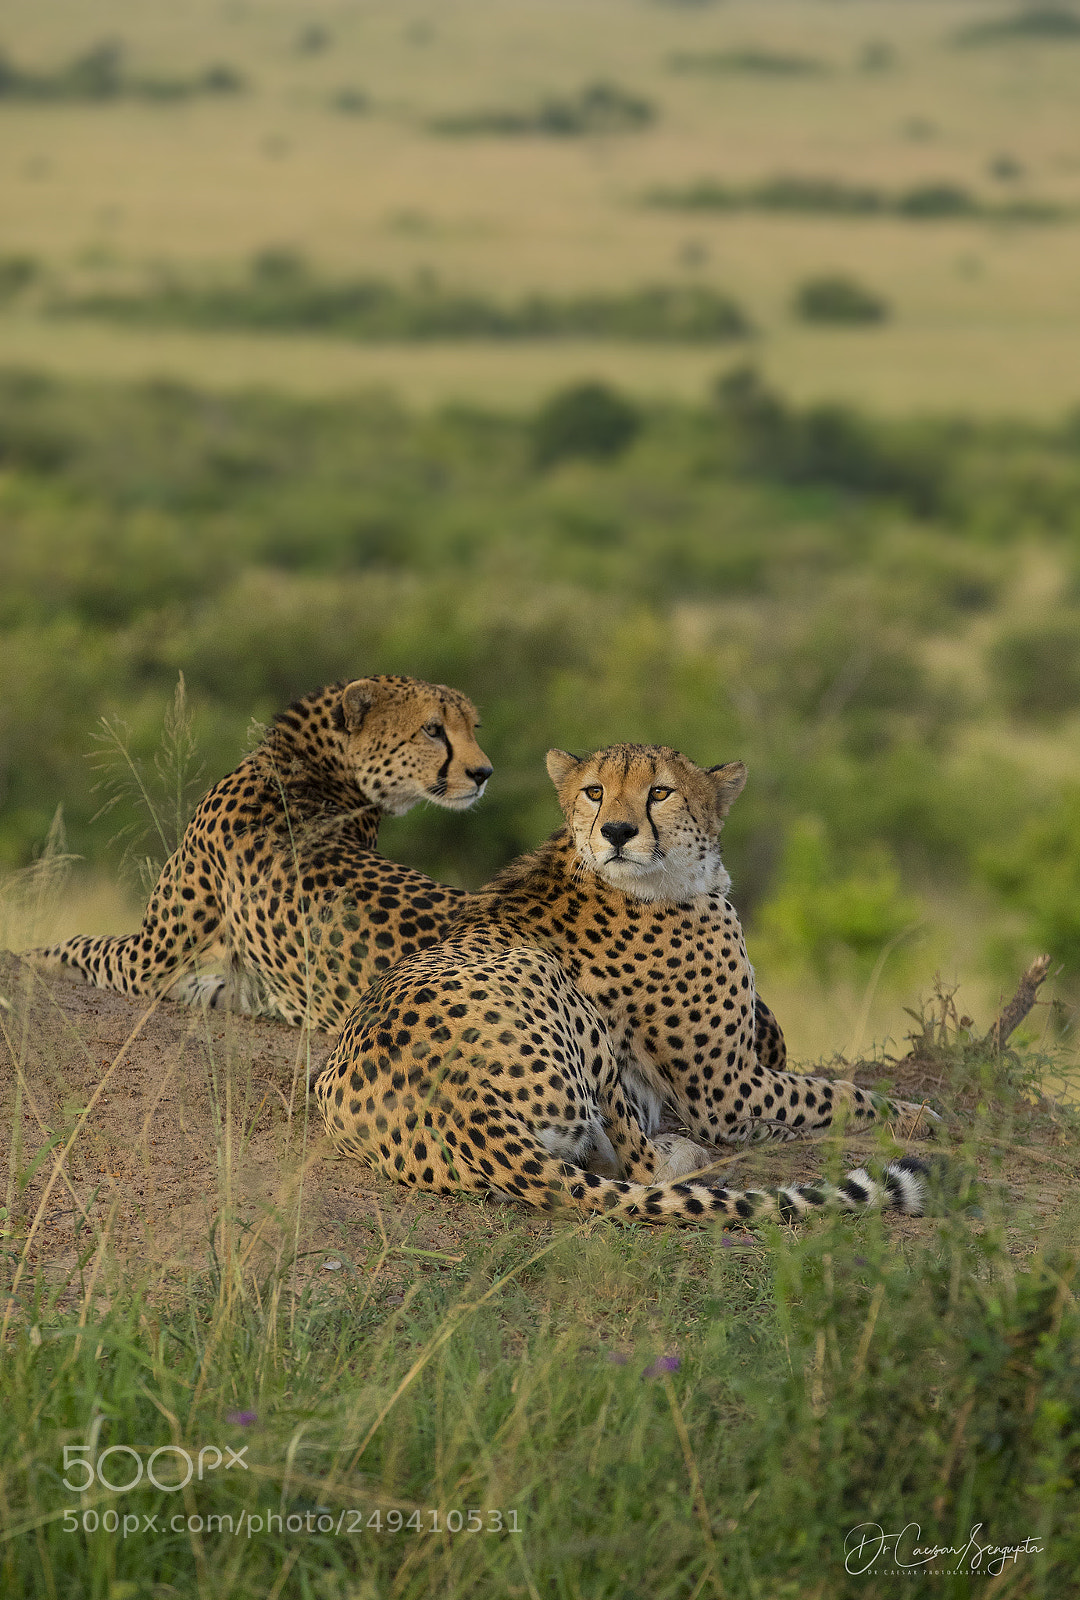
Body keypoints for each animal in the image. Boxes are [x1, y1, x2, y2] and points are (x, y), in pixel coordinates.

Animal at [29, 675, 494, 1028]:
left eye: (473, 727)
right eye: (433, 729)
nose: (484, 773)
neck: (309, 764)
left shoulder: (148, 959)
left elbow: (84, 943)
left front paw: (34, 957)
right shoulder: (239, 983)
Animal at [315, 741, 938, 1227]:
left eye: (660, 793)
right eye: (594, 792)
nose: (617, 831)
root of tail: (456, 1099)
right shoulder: (728, 1088)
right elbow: (834, 1092)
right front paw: (914, 1115)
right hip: (553, 983)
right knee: (642, 1165)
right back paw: (698, 1147)